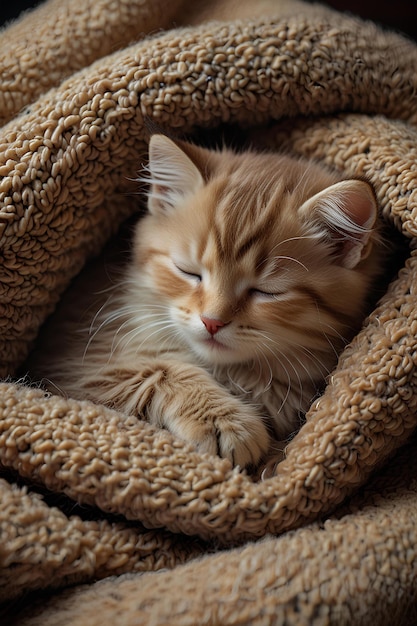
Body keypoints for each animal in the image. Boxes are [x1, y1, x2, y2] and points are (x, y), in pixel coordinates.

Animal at [27, 135, 382, 468]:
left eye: (267, 292)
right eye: (189, 272)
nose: (212, 321)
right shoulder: (78, 366)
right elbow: (161, 369)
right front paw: (223, 421)